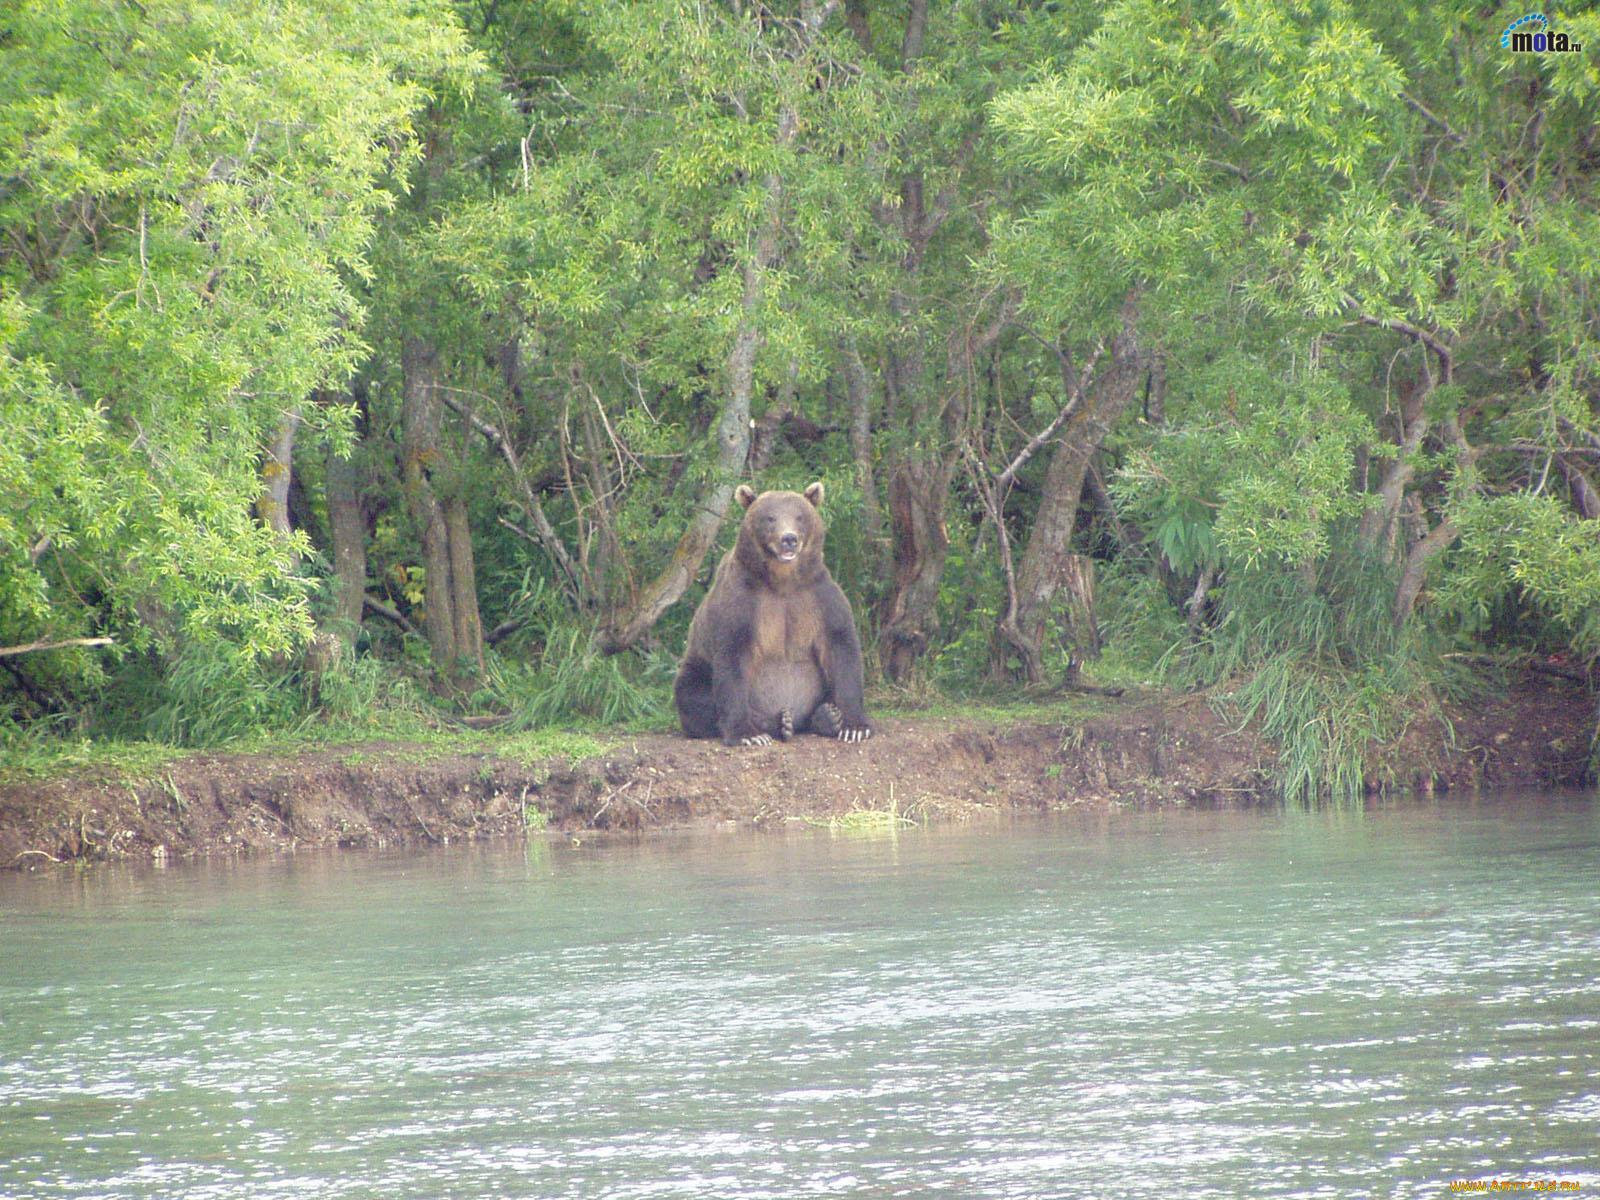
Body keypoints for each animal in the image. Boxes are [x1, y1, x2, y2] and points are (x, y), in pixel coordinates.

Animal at [675, 483, 876, 748]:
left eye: (799, 516)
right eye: (770, 517)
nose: (789, 539)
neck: (783, 581)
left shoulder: (820, 598)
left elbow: (841, 649)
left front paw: (855, 727)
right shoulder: (743, 602)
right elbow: (732, 657)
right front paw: (748, 734)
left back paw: (825, 716)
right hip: (697, 666)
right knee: (692, 695)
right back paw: (777, 721)